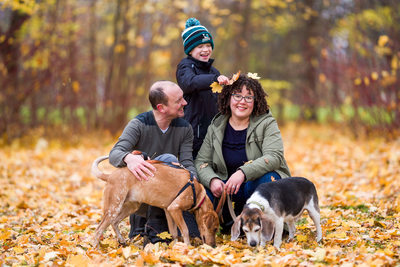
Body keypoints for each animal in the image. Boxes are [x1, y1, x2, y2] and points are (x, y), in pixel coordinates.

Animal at [90, 154, 219, 248]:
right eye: (215, 229)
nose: (213, 246)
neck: (197, 193)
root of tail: (110, 176)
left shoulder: (169, 211)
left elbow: (174, 233)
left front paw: (175, 248)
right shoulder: (175, 208)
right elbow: (185, 230)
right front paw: (187, 248)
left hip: (130, 206)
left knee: (114, 222)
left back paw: (121, 240)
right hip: (114, 207)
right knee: (98, 230)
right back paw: (96, 251)